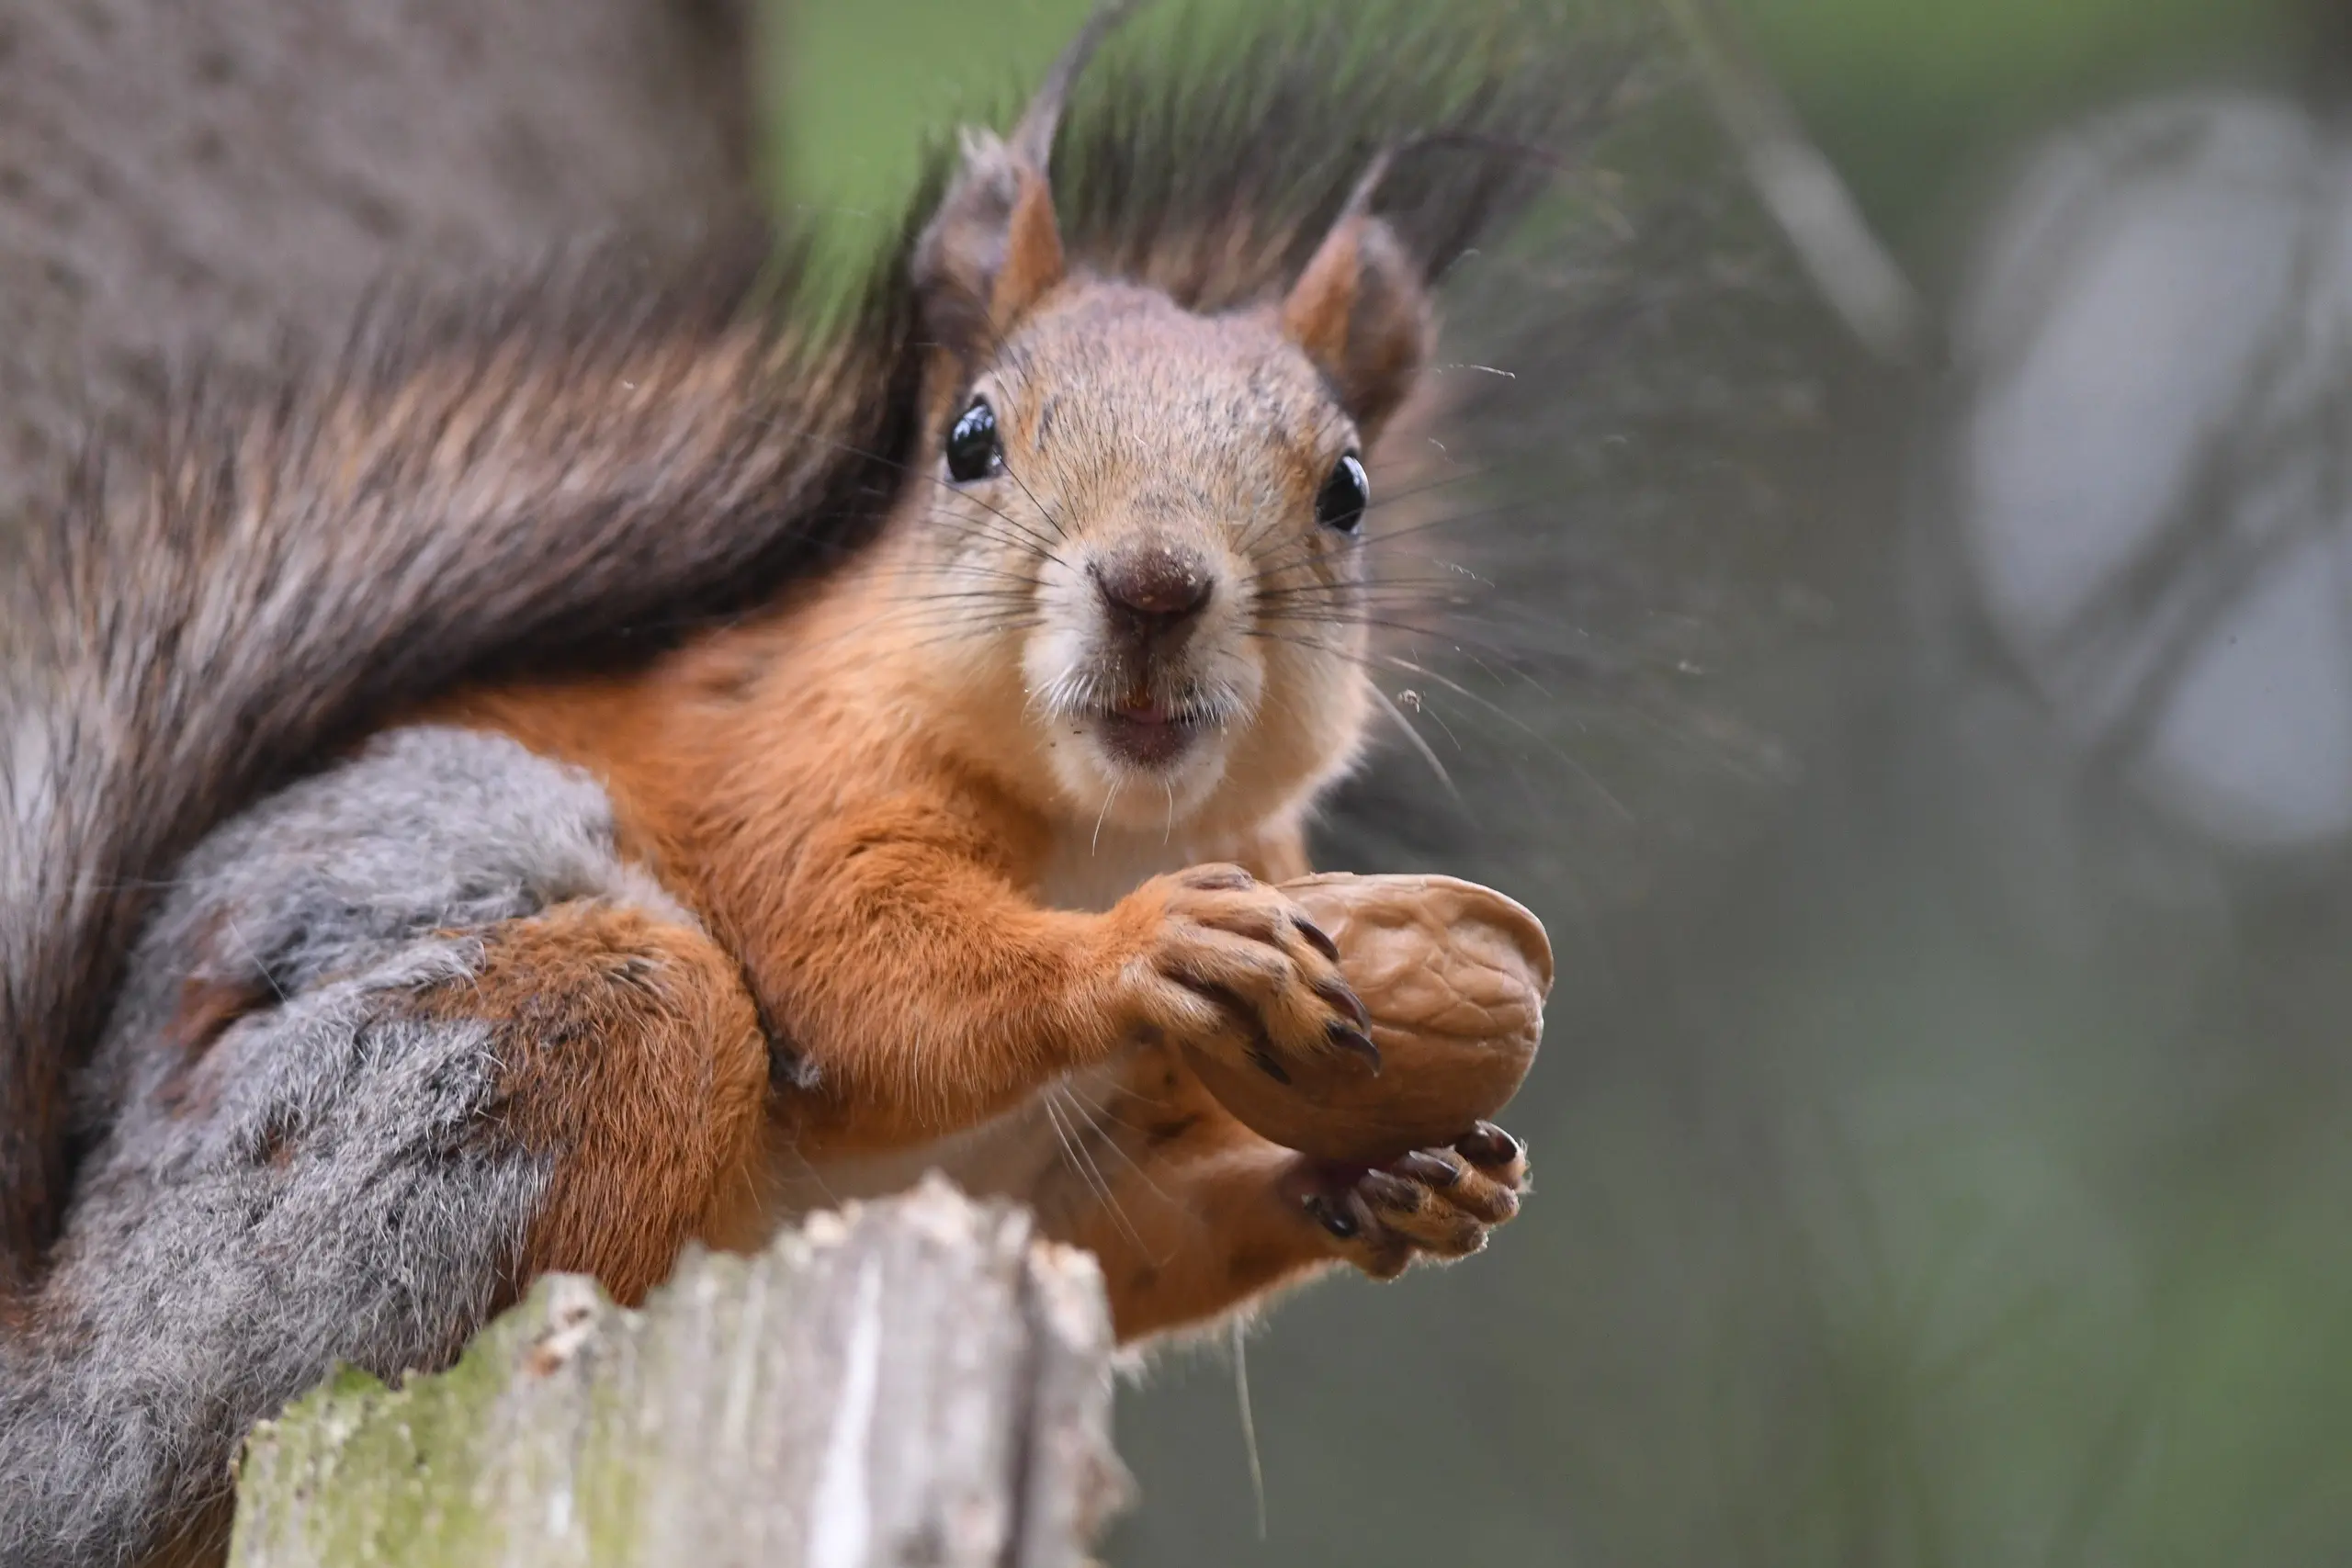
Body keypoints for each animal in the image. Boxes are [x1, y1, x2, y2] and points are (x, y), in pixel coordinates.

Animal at [0, 1, 1608, 1561]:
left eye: (1348, 488)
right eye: (971, 438)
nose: (1155, 584)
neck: (1109, 823)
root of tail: (76, 1371)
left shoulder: (1081, 1156)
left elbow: (1134, 1232)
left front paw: (1399, 1180)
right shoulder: (795, 780)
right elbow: (866, 975)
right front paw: (1146, 942)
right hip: (517, 1071)